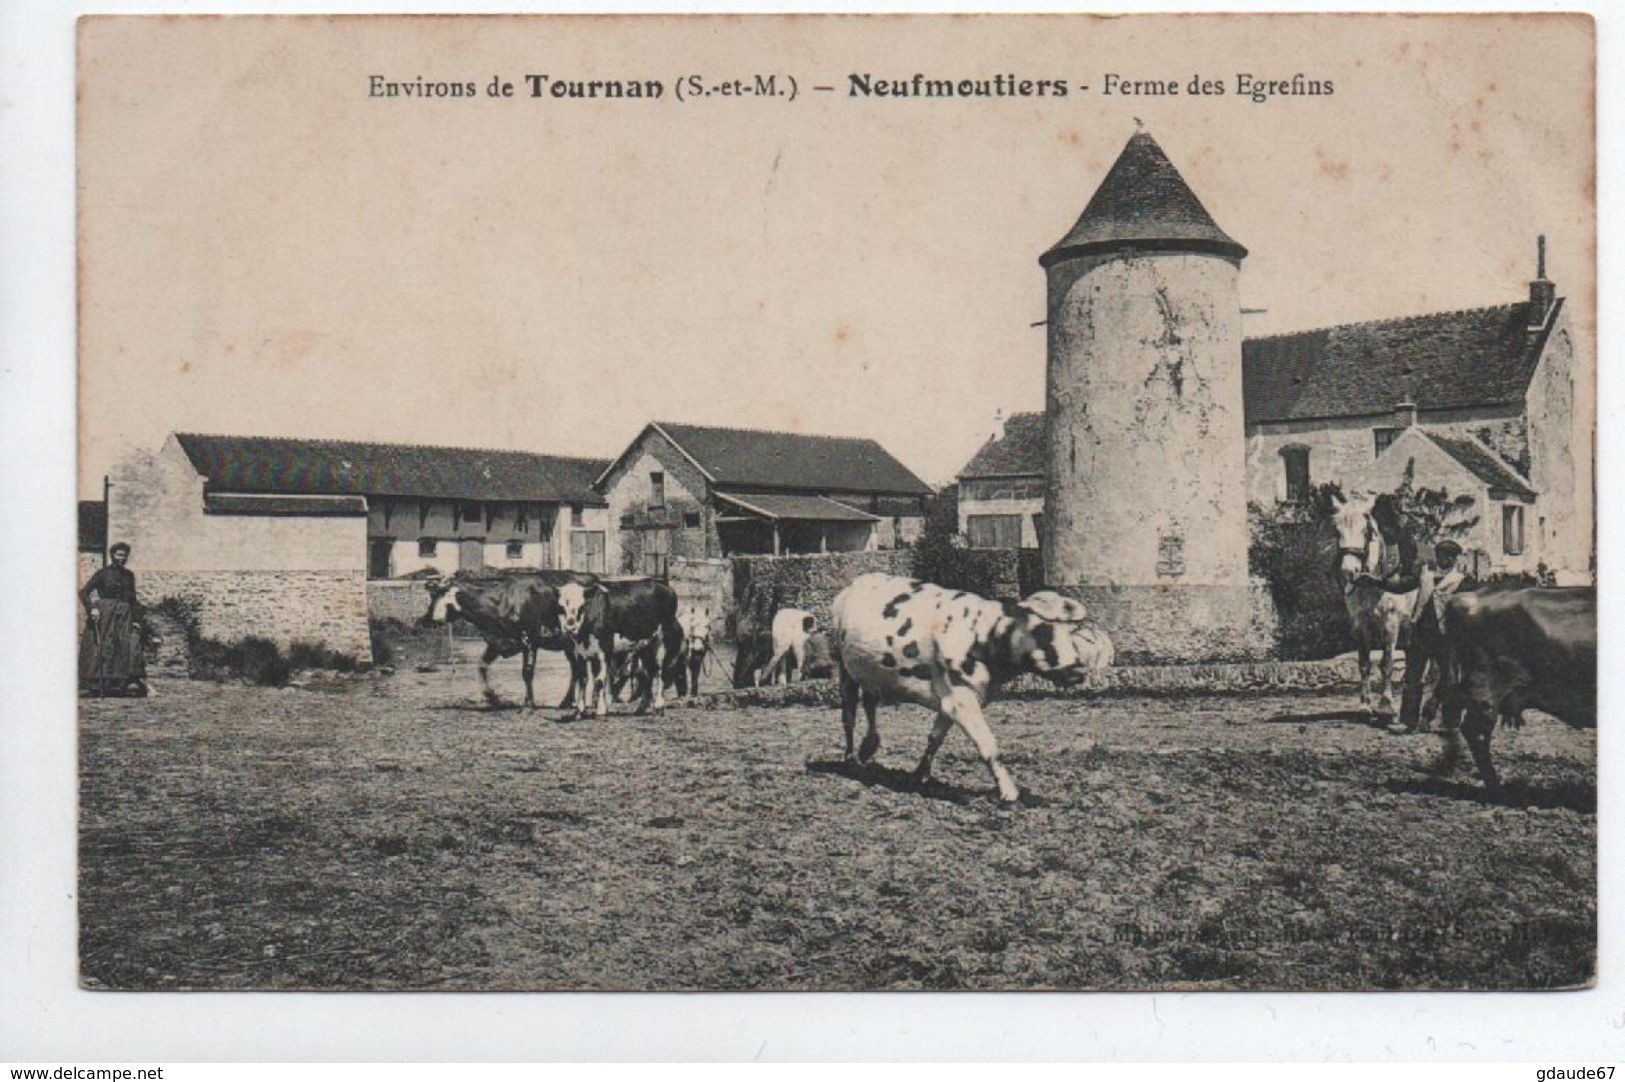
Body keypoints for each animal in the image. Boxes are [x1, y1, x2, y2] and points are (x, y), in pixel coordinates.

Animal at [419, 565, 598, 708]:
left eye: (436, 596)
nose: (422, 620)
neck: (502, 601)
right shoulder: (496, 642)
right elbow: (482, 667)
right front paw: (492, 697)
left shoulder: (529, 640)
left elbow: (527, 672)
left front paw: (528, 703)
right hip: (569, 644)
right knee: (575, 669)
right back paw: (567, 702)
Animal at [562, 571, 682, 714]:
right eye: (562, 607)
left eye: (582, 606)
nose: (570, 627)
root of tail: (664, 585)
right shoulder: (580, 652)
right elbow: (582, 679)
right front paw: (579, 711)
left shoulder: (604, 650)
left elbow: (600, 681)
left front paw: (601, 710)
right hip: (645, 644)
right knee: (647, 672)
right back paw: (642, 707)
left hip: (661, 639)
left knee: (659, 670)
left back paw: (658, 705)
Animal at [832, 571, 1111, 799]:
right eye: (1042, 631)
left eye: (1072, 632)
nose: (1078, 669)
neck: (983, 635)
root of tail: (857, 582)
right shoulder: (960, 699)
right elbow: (988, 745)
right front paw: (1009, 793)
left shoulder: (950, 700)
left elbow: (935, 738)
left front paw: (920, 776)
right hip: (844, 669)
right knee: (849, 714)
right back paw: (850, 759)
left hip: (870, 673)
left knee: (870, 703)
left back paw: (868, 748)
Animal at [1326, 487, 1417, 714]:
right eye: (1337, 531)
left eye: (1365, 531)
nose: (1349, 571)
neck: (1372, 582)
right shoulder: (1360, 624)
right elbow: (1364, 663)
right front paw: (1365, 704)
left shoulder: (1391, 623)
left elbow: (1387, 663)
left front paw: (1386, 704)